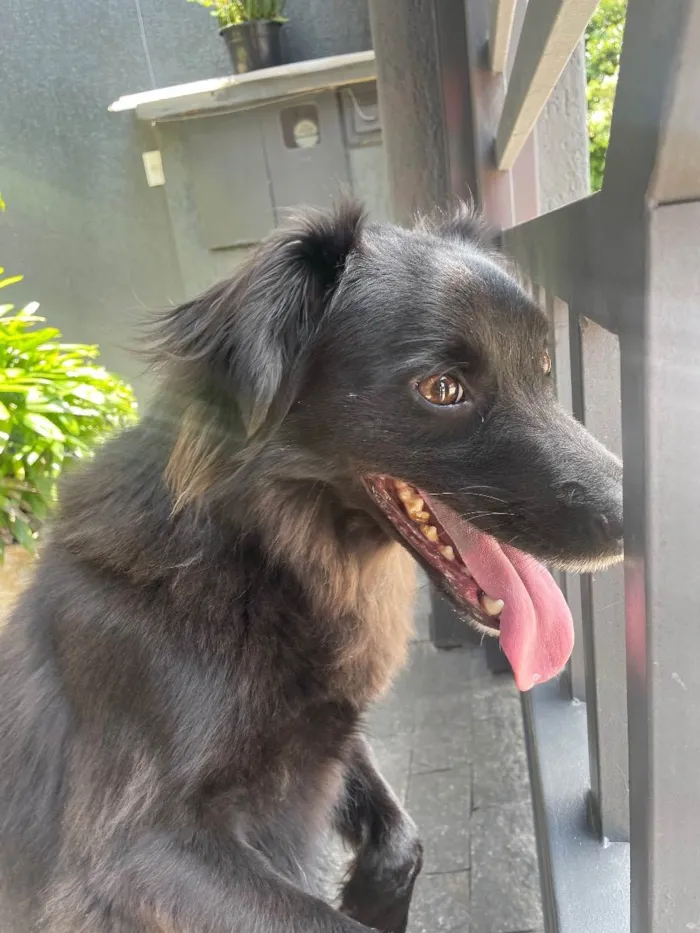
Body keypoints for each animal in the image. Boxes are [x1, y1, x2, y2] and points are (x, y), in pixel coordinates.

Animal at [0, 200, 620, 928]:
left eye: (545, 366)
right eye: (442, 388)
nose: (635, 514)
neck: (261, 562)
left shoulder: (331, 726)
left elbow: (402, 842)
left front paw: (372, 897)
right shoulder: (134, 849)